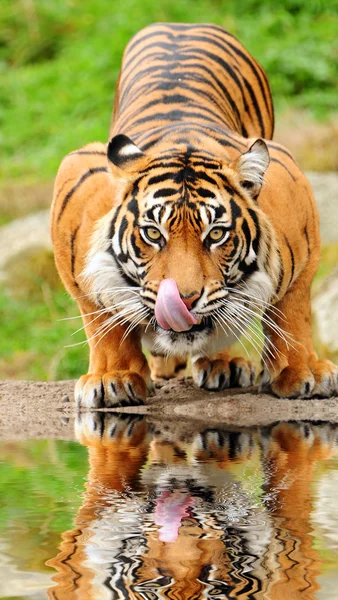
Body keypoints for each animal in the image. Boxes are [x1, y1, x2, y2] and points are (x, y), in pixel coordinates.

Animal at [50, 23, 338, 408]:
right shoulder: (75, 185)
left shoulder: (299, 211)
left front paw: (303, 371)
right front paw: (113, 377)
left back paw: (223, 365)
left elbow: (294, 309)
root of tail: (179, 25)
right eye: (153, 234)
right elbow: (100, 316)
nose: (182, 301)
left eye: (216, 234)